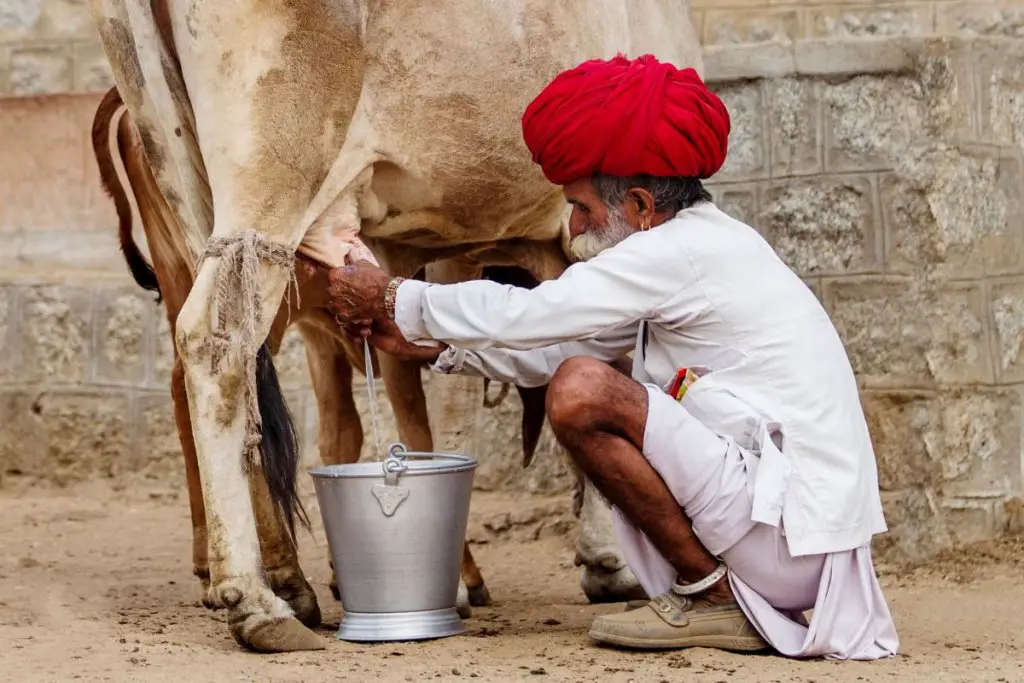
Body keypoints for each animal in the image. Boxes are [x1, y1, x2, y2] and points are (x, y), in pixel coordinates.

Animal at [86, 0, 704, 651]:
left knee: (233, 373)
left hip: (186, 185)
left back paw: (285, 582)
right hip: (272, 176)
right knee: (217, 344)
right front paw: (601, 559)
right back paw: (254, 600)